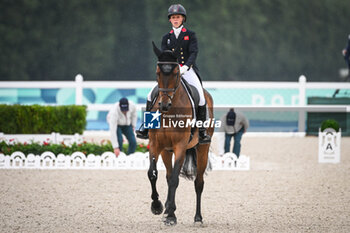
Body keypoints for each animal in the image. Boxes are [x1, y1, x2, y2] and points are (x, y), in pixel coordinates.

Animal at [147, 42, 215, 226]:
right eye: (157, 73)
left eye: (176, 73)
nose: (163, 105)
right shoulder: (155, 145)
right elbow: (153, 174)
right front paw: (158, 207)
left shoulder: (180, 147)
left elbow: (175, 180)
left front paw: (170, 215)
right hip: (166, 151)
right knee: (168, 176)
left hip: (202, 149)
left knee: (198, 182)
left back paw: (198, 218)